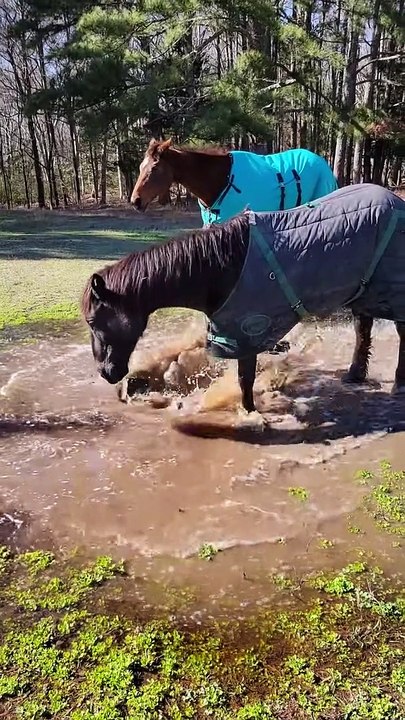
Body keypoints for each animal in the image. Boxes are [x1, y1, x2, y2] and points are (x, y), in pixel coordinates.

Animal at [82, 184, 405, 417]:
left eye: (94, 321)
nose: (107, 373)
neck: (223, 268)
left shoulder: (249, 330)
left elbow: (244, 378)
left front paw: (248, 412)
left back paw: (399, 385)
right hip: (364, 292)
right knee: (363, 329)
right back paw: (354, 376)